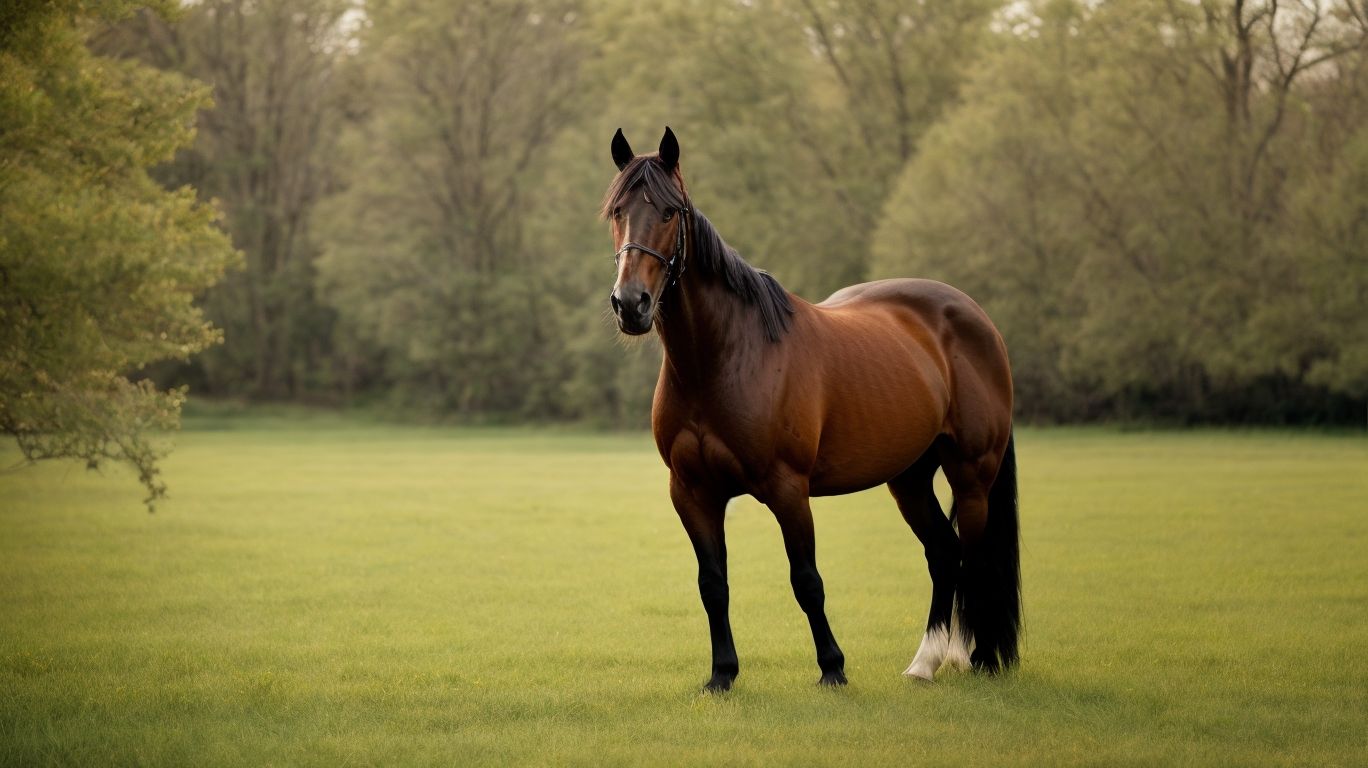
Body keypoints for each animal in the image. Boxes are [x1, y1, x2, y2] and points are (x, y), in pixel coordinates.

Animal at [602, 127, 1020, 691]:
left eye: (669, 212)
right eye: (617, 211)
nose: (631, 304)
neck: (724, 357)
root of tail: (978, 319)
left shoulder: (788, 488)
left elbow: (806, 581)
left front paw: (832, 668)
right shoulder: (691, 492)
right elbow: (713, 584)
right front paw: (722, 674)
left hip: (972, 474)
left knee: (974, 562)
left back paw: (981, 658)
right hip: (909, 478)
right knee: (944, 554)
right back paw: (926, 663)